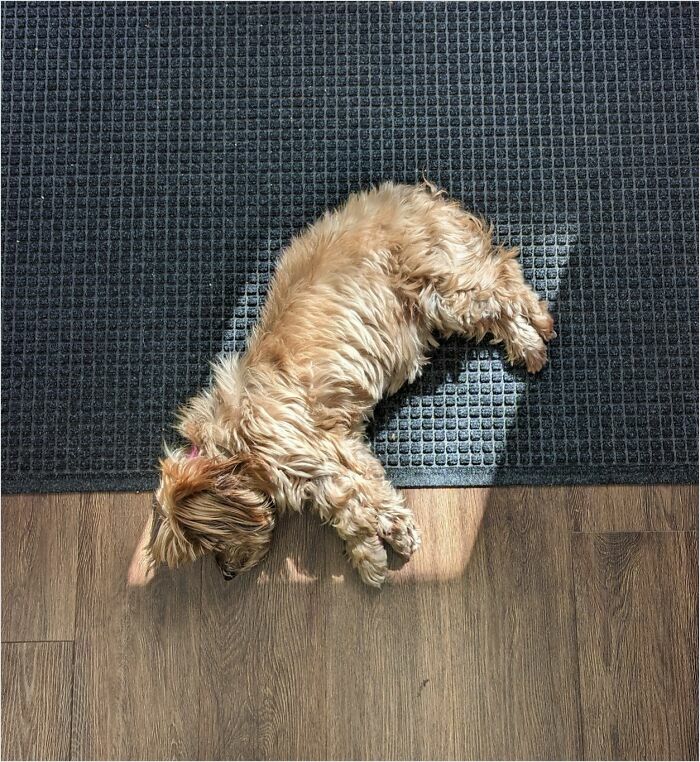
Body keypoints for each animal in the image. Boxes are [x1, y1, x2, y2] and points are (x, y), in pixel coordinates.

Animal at [127, 181, 552, 584]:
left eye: (210, 542)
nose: (227, 575)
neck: (235, 446)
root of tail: (417, 197)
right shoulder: (334, 458)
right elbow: (355, 502)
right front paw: (377, 547)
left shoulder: (323, 451)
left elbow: (357, 500)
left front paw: (387, 542)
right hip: (444, 302)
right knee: (496, 298)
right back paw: (527, 341)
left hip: (445, 292)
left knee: (504, 282)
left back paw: (535, 331)